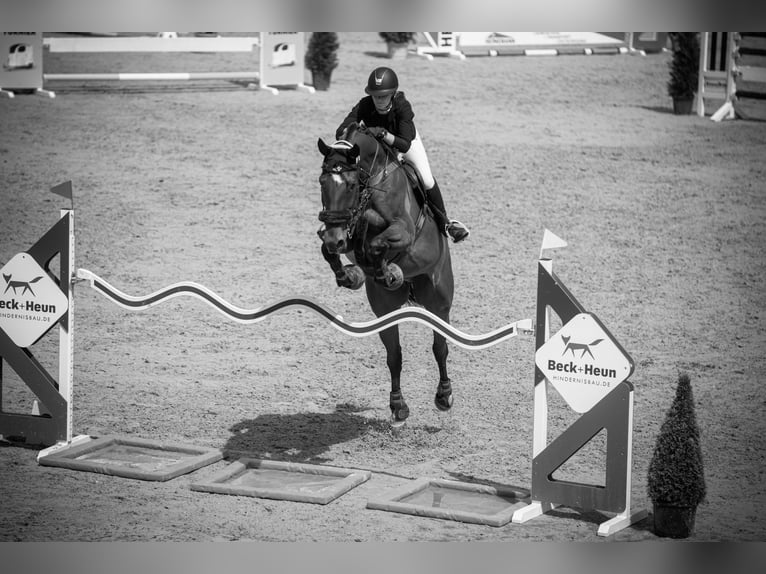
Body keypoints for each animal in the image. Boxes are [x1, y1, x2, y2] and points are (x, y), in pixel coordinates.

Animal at [316, 122, 455, 427]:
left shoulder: (403, 230)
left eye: (351, 185)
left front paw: (386, 268)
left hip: (438, 299)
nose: (335, 238)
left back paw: (444, 395)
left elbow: (379, 240)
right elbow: (331, 249)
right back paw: (398, 406)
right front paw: (350, 275)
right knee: (395, 355)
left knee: (440, 347)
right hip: (384, 307)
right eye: (322, 182)